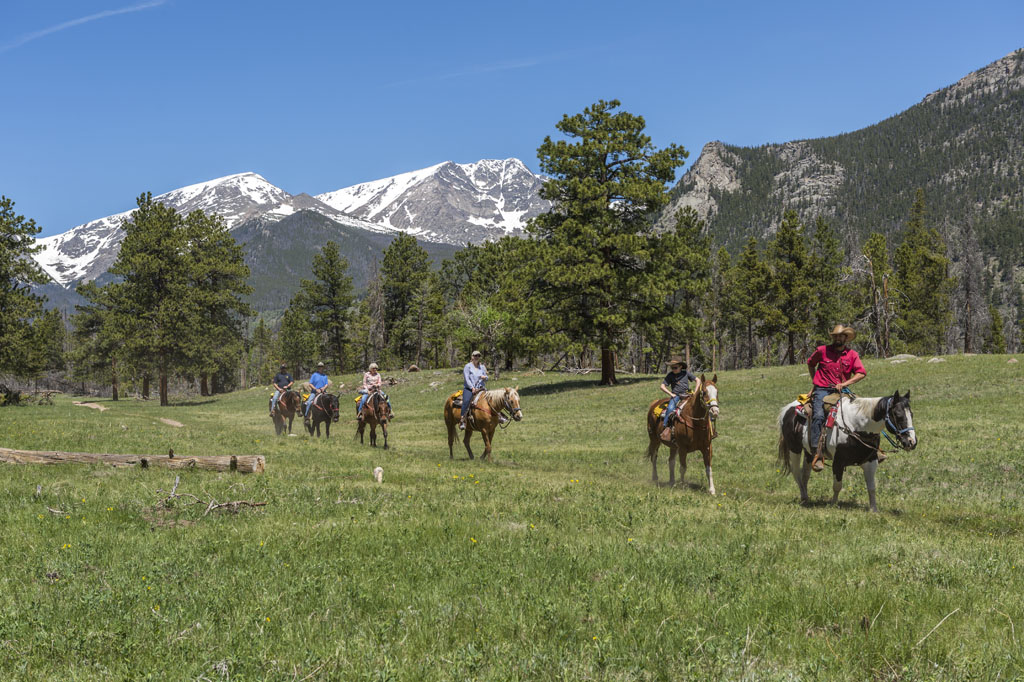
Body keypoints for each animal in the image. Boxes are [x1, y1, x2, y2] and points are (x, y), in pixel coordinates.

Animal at [774, 387, 921, 509]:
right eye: (898, 415)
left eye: (912, 414)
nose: (911, 442)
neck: (857, 426)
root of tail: (787, 409)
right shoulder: (838, 462)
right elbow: (837, 486)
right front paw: (833, 505)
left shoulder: (871, 461)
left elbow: (872, 487)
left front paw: (873, 509)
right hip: (794, 449)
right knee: (796, 473)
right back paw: (804, 497)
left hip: (810, 453)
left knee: (805, 474)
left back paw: (806, 498)